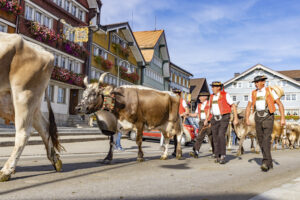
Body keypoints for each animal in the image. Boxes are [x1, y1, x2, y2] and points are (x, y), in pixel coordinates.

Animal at [0, 32, 62, 181]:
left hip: (24, 94)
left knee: (24, 132)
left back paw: (6, 171)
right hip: (19, 100)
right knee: (44, 127)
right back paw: (55, 160)